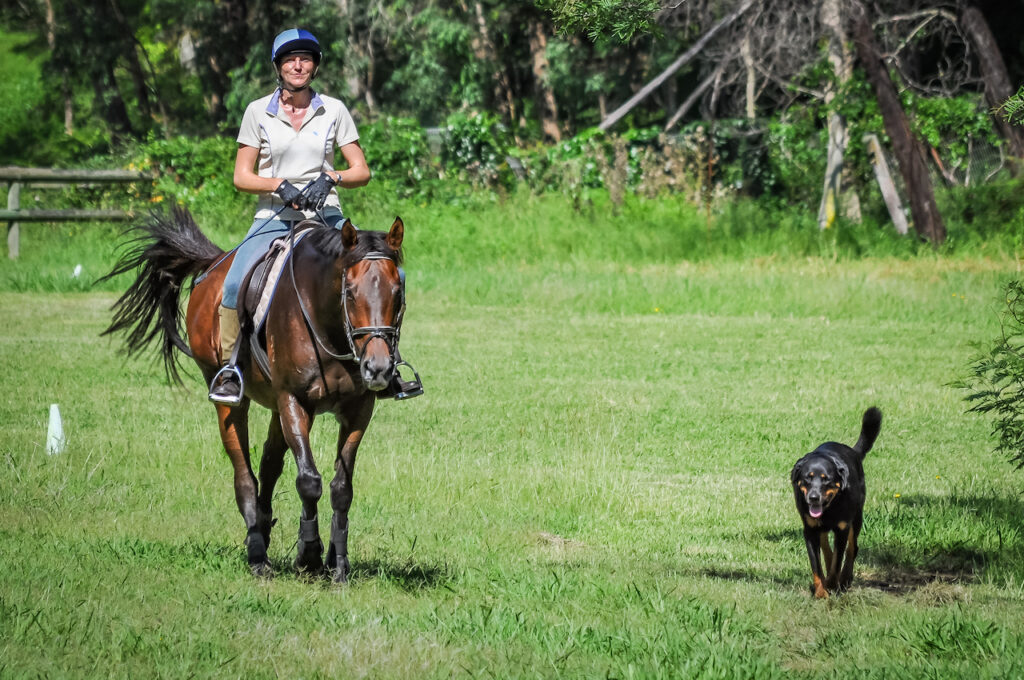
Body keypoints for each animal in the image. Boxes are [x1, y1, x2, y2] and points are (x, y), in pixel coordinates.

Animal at [101, 206, 405, 577]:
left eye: (398, 291)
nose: (378, 368)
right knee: (244, 473)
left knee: (269, 466)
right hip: (233, 401)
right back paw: (258, 554)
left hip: (277, 408)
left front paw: (338, 564)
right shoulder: (294, 400)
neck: (328, 325)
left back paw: (263, 528)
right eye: (349, 291)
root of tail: (216, 264)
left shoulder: (358, 409)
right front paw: (309, 555)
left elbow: (341, 488)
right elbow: (309, 481)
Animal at [790, 405, 880, 598]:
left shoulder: (842, 528)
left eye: (826, 480)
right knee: (825, 545)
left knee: (852, 549)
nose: (813, 497)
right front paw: (820, 592)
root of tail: (853, 452)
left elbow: (838, 561)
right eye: (807, 478)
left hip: (857, 517)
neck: (830, 508)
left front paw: (832, 583)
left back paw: (845, 578)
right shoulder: (809, 530)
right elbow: (816, 566)